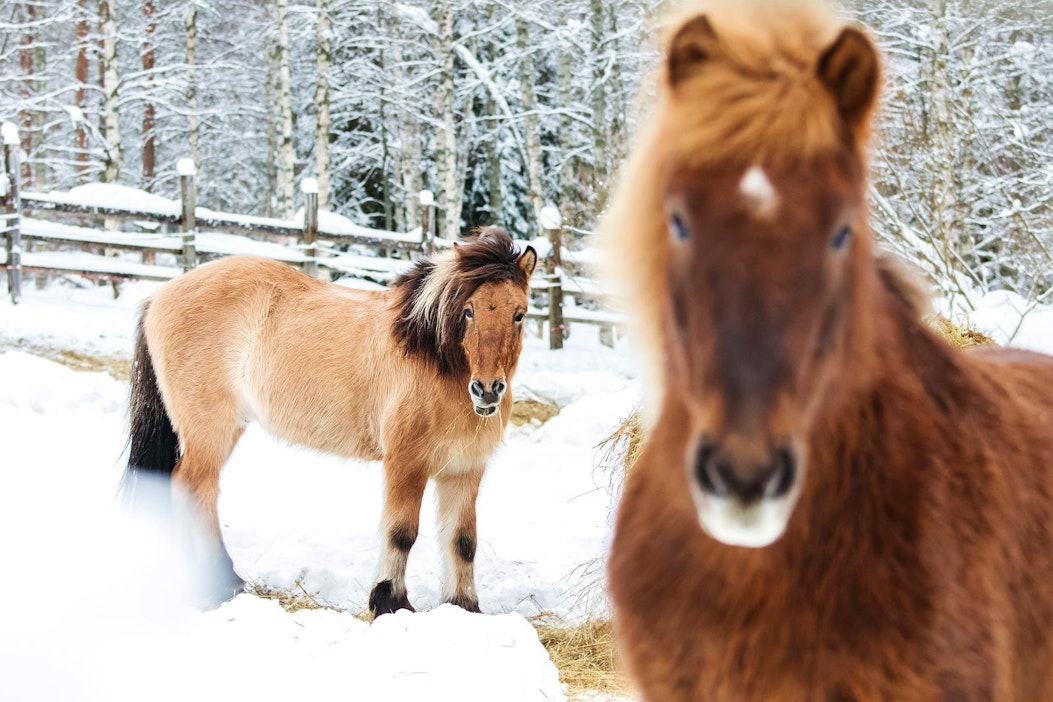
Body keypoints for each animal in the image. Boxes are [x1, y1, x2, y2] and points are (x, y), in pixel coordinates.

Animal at [123, 229, 534, 614]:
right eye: (468, 311)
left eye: (519, 314)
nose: (487, 390)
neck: (435, 360)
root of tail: (160, 294)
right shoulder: (406, 463)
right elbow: (401, 532)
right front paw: (390, 602)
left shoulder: (465, 468)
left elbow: (462, 540)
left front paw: (464, 606)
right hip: (210, 431)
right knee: (193, 488)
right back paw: (220, 582)